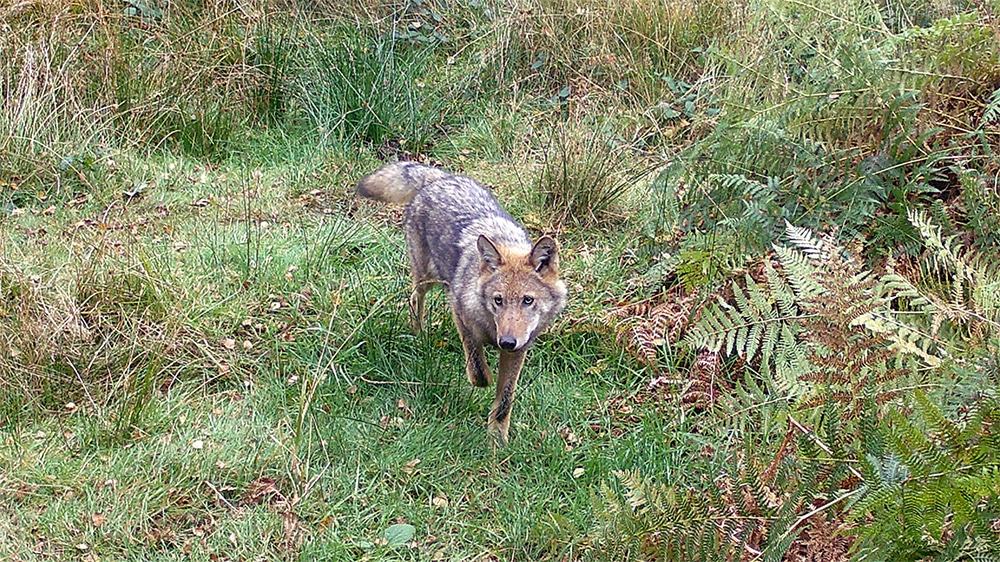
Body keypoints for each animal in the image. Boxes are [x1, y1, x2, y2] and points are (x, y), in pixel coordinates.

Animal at [358, 160, 564, 440]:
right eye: (498, 300)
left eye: (527, 300)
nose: (507, 342)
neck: (493, 330)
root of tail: (439, 178)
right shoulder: (460, 314)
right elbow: (478, 371)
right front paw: (484, 379)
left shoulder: (520, 349)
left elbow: (505, 399)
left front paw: (497, 440)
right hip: (428, 278)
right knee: (414, 298)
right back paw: (417, 334)